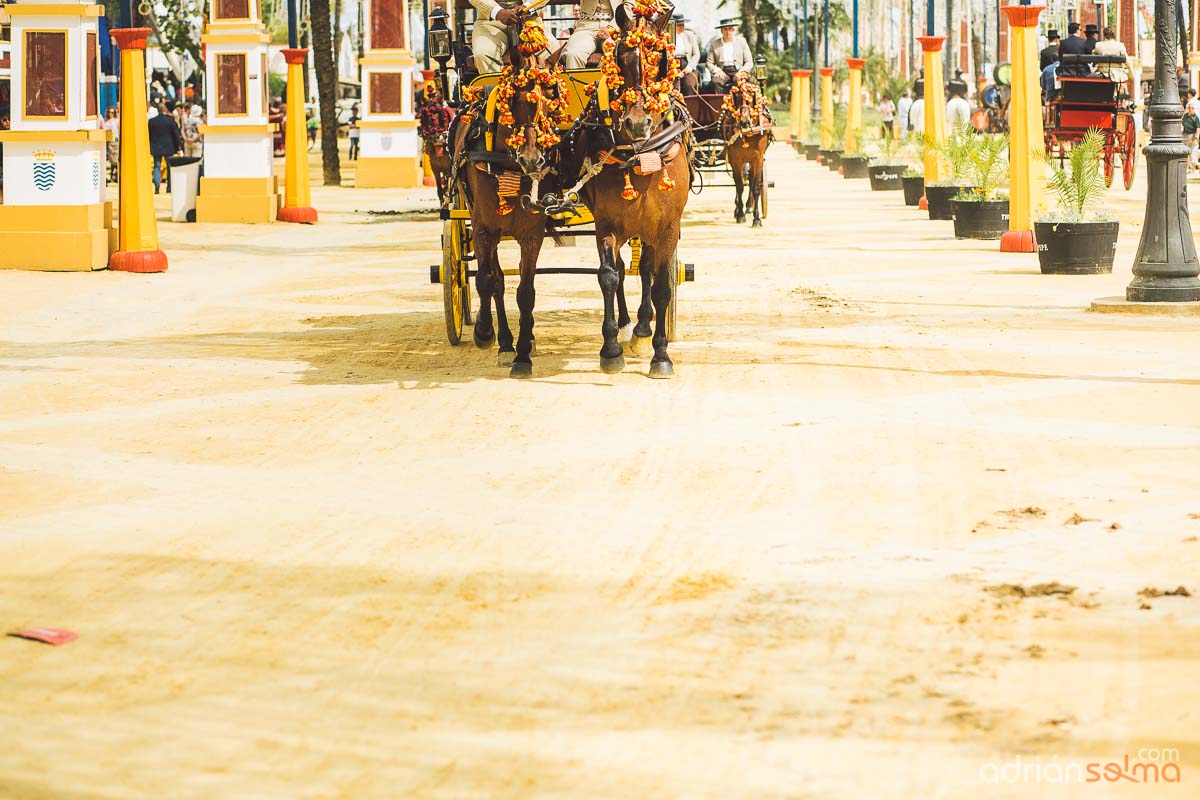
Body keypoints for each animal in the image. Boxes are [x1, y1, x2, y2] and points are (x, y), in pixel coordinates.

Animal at [448, 21, 568, 379]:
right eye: (513, 97)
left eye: (553, 94)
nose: (532, 158)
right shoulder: (484, 228)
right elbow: (488, 281)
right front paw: (485, 333)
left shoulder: (531, 233)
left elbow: (526, 292)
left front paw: (524, 354)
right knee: (494, 279)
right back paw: (501, 341)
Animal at [566, 0, 691, 379]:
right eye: (621, 57)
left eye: (660, 59)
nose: (636, 123)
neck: (640, 154)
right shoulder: (606, 224)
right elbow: (608, 276)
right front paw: (610, 349)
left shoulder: (667, 227)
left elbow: (662, 284)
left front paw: (660, 354)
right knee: (623, 270)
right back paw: (625, 327)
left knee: (647, 269)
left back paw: (642, 329)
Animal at [715, 76, 772, 226]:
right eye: (738, 97)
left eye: (751, 97)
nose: (744, 122)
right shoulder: (735, 158)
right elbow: (739, 186)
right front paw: (740, 214)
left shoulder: (758, 158)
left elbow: (756, 187)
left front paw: (756, 219)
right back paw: (738, 210)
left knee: (751, 182)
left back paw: (748, 207)